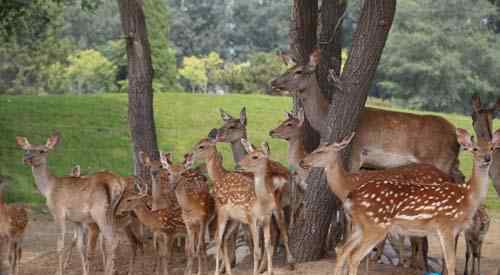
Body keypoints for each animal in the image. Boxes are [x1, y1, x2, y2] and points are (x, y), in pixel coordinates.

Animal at [16, 134, 126, 275]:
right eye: (27, 149)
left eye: (42, 151)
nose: (26, 159)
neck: (48, 190)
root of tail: (119, 184)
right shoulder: (77, 220)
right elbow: (80, 246)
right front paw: (85, 271)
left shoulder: (58, 212)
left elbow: (60, 244)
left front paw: (58, 271)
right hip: (112, 211)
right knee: (113, 239)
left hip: (99, 211)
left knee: (112, 239)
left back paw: (108, 271)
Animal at [272, 48, 462, 184]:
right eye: (288, 68)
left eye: (299, 71)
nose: (274, 82)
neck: (324, 119)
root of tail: (455, 135)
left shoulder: (357, 154)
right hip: (452, 163)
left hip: (439, 160)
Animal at [302, 129, 498, 275]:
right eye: (474, 149)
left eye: (493, 148)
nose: (303, 161)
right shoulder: (445, 226)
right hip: (374, 226)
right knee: (349, 253)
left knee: (348, 252)